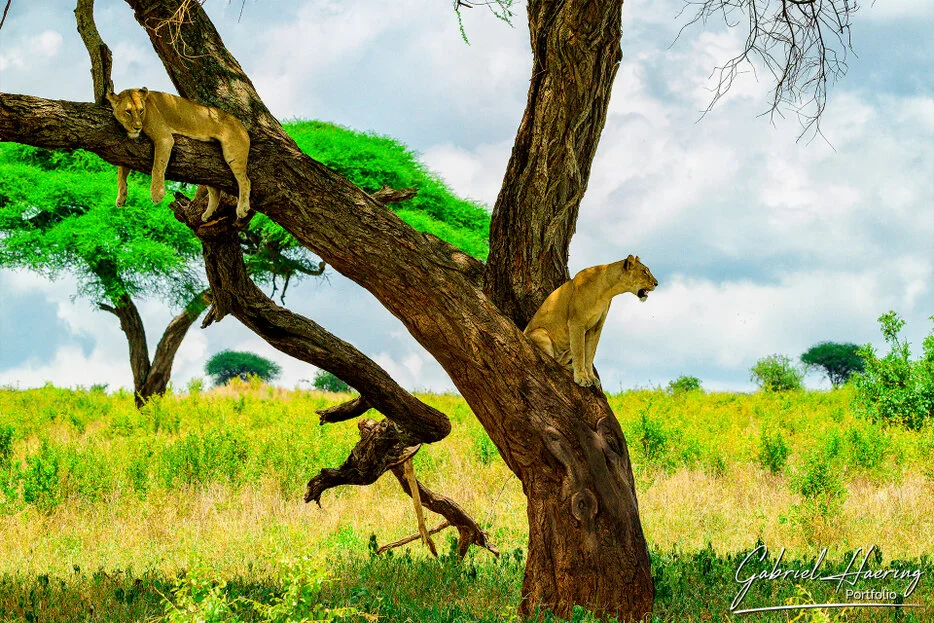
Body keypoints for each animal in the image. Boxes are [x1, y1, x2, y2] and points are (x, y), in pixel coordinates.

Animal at [106, 87, 251, 221]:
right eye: (128, 112)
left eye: (141, 111)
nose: (137, 127)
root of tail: (241, 124)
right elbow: (121, 174)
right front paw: (121, 198)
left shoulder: (164, 138)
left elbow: (158, 167)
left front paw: (157, 194)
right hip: (208, 168)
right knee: (215, 190)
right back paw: (207, 214)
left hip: (233, 154)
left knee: (245, 181)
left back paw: (242, 209)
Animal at [523, 255, 658, 388]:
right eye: (644, 272)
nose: (656, 283)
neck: (607, 290)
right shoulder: (576, 323)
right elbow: (579, 352)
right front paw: (581, 378)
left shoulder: (596, 327)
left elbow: (590, 353)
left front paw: (591, 377)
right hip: (540, 332)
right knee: (552, 360)